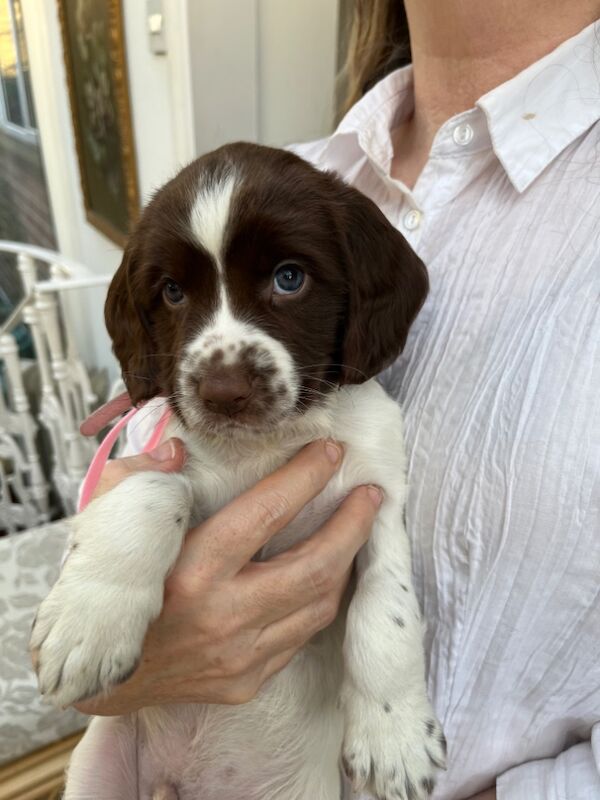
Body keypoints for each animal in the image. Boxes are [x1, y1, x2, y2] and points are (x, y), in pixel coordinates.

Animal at [31, 144, 446, 800]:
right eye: (172, 292)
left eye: (289, 278)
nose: (223, 391)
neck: (268, 445)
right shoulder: (158, 452)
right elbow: (154, 489)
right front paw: (88, 620)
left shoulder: (378, 497)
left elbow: (387, 608)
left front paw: (395, 734)